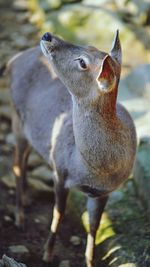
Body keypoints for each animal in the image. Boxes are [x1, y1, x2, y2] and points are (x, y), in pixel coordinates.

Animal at [7, 30, 137, 266]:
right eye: (89, 46)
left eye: (83, 62)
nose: (47, 35)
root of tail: (13, 60)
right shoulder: (60, 171)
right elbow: (58, 214)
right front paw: (47, 254)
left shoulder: (104, 192)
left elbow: (94, 226)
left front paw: (89, 261)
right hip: (16, 117)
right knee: (17, 165)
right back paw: (19, 218)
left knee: (25, 159)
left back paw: (27, 202)